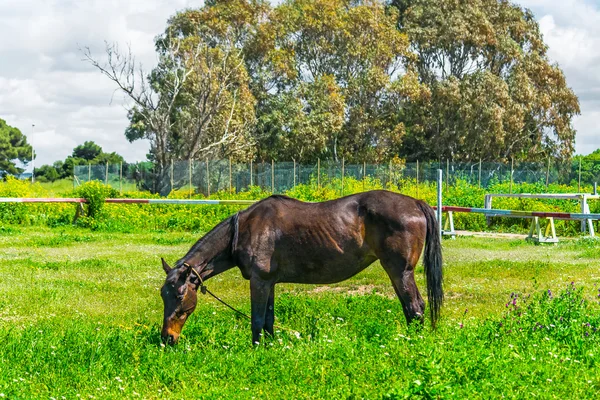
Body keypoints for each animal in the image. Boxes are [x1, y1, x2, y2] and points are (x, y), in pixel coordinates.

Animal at [159, 191, 440, 344]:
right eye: (163, 295)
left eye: (180, 295)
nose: (166, 338)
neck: (243, 230)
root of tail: (415, 203)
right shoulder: (269, 283)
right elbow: (268, 320)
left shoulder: (259, 282)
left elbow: (257, 320)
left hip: (400, 271)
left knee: (414, 307)